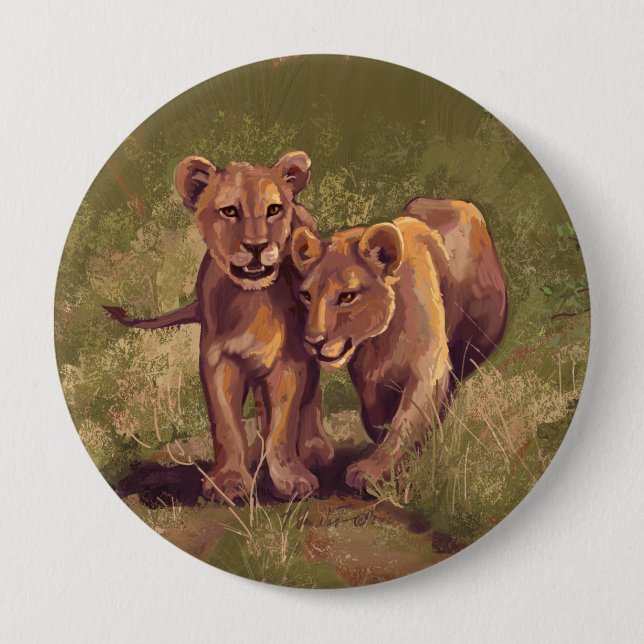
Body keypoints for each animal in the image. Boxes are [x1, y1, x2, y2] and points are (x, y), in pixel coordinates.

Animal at [104, 151, 334, 501]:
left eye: (273, 210)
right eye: (229, 211)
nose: (256, 246)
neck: (253, 299)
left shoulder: (290, 361)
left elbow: (284, 423)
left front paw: (290, 478)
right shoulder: (218, 361)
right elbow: (227, 425)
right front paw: (229, 481)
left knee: (311, 397)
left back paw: (314, 450)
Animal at [291, 198, 507, 492]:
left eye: (347, 296)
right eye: (306, 295)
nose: (313, 342)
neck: (381, 340)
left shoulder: (428, 368)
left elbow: (406, 420)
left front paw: (371, 471)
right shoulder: (368, 376)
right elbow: (378, 413)